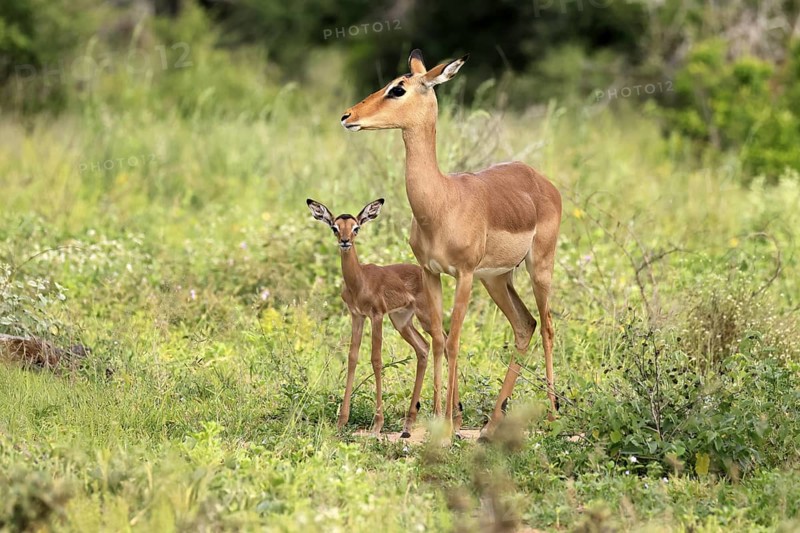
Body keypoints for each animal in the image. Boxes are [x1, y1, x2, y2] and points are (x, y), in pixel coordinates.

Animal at [307, 197, 443, 437]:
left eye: (356, 227)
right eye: (335, 227)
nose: (345, 241)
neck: (360, 281)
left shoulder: (376, 315)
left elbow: (376, 360)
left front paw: (377, 424)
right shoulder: (357, 316)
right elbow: (352, 358)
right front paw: (342, 421)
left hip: (426, 315)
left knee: (441, 341)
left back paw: (446, 417)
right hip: (402, 321)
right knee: (424, 348)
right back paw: (408, 425)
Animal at [340, 49, 562, 438]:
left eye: (398, 89)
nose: (348, 116)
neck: (442, 201)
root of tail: (541, 181)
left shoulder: (464, 274)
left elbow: (456, 340)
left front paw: (445, 424)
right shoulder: (431, 273)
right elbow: (439, 340)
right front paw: (436, 420)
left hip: (538, 268)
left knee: (548, 326)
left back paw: (551, 415)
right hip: (497, 279)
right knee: (525, 325)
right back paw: (491, 424)